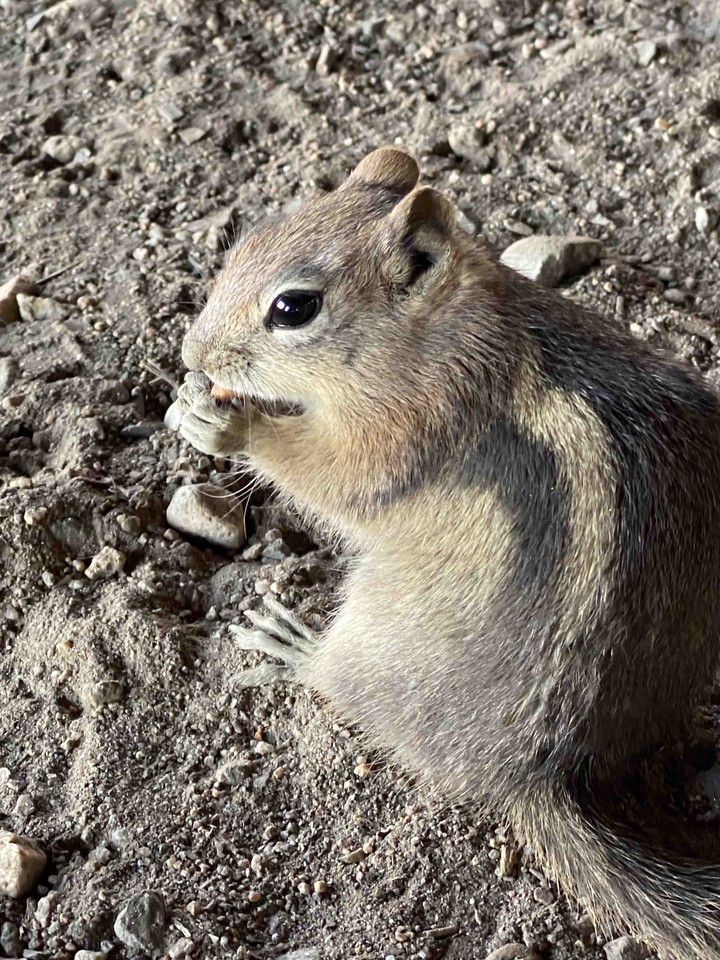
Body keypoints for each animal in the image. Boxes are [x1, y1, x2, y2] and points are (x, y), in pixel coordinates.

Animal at [165, 146, 720, 958]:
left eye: (294, 308)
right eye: (245, 242)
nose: (192, 352)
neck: (441, 329)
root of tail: (537, 774)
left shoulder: (404, 431)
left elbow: (332, 478)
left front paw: (225, 424)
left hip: (367, 637)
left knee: (338, 684)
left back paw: (291, 642)